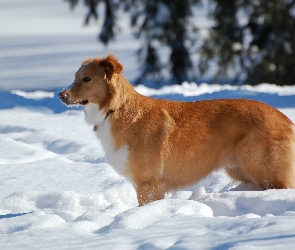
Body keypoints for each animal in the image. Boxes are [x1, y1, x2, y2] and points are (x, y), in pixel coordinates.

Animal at [58, 54, 295, 205]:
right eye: (75, 77)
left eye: (87, 79)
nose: (61, 95)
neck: (114, 109)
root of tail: (285, 120)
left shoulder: (149, 184)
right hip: (241, 170)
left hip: (264, 171)